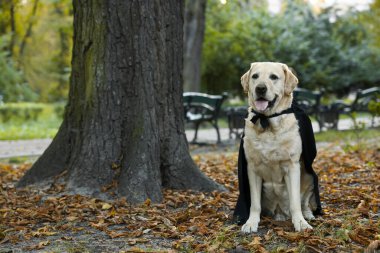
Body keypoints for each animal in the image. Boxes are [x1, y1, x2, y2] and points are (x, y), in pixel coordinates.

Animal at [238, 62, 320, 232]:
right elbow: (254, 203)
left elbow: (295, 202)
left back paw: (308, 215)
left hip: (309, 177)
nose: (260, 88)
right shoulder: (252, 167)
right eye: (255, 76)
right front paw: (251, 222)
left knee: (304, 203)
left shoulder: (292, 165)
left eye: (274, 77)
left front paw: (300, 223)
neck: (268, 123)